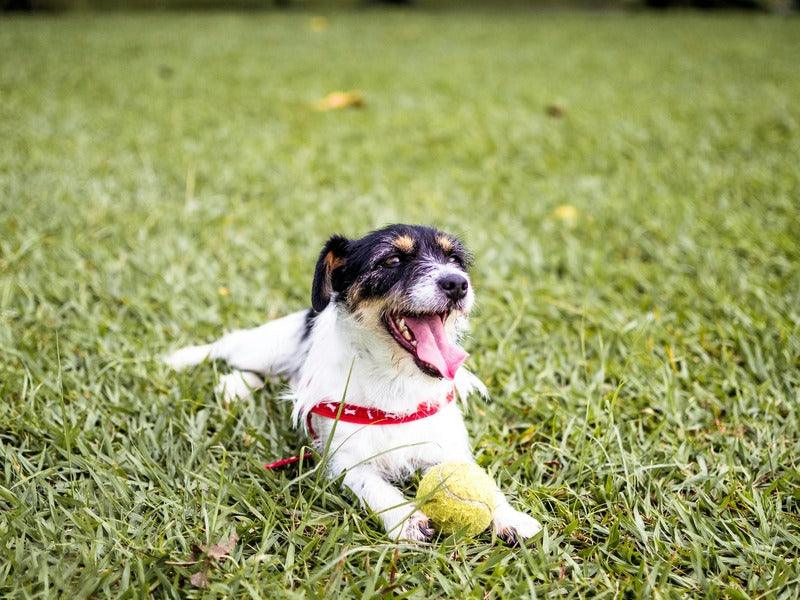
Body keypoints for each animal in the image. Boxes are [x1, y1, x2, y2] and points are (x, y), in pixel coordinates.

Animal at [166, 225, 544, 544]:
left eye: (454, 260)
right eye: (392, 260)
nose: (457, 283)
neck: (396, 379)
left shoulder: (446, 447)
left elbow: (481, 480)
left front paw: (510, 516)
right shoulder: (344, 460)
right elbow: (374, 485)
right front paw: (406, 519)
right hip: (267, 346)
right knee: (230, 346)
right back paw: (193, 366)